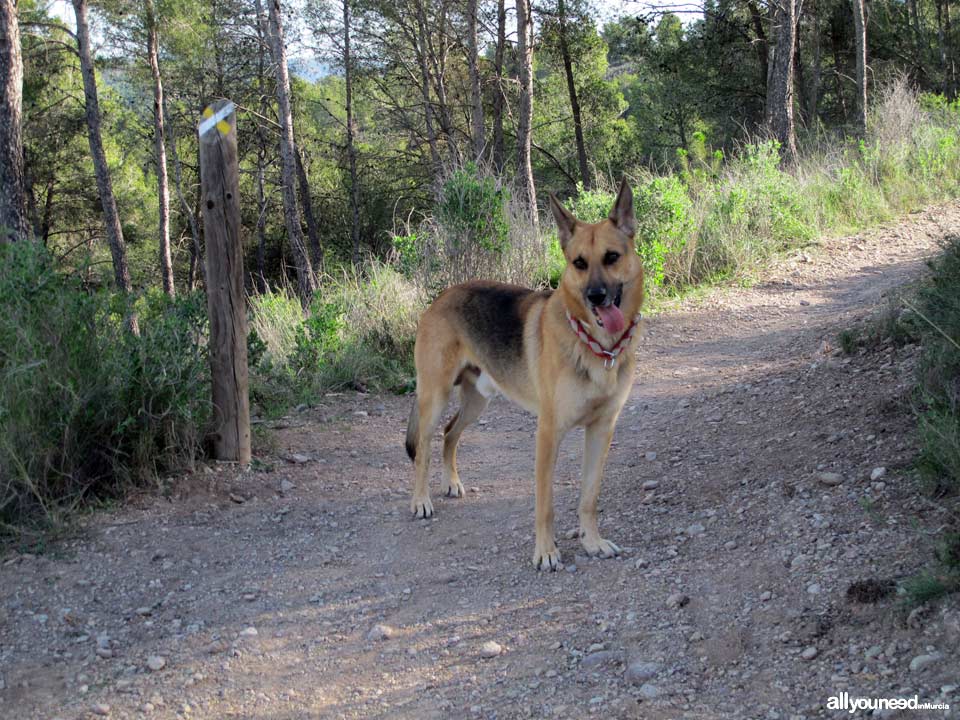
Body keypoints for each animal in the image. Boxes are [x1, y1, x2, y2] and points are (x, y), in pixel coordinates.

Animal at [404, 179, 644, 568]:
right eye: (579, 263)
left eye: (612, 257)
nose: (596, 296)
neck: (596, 345)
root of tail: (440, 297)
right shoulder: (547, 435)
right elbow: (545, 506)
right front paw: (546, 553)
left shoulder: (601, 430)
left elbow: (589, 497)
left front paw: (592, 542)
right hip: (435, 396)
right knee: (424, 446)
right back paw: (420, 500)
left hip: (477, 401)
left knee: (450, 433)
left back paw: (451, 482)